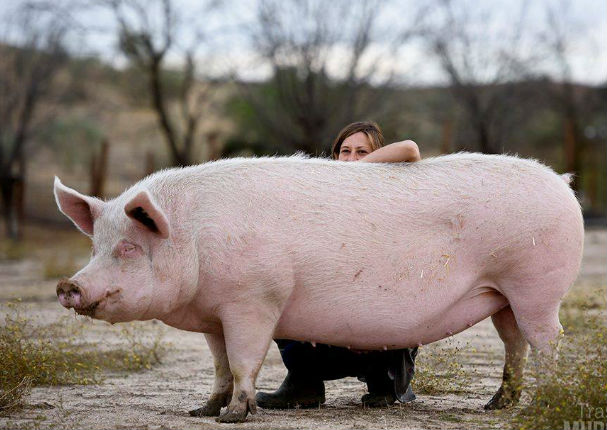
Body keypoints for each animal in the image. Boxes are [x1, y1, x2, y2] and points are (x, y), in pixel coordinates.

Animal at [55, 152, 584, 424]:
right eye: (96, 246)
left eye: (127, 247)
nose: (68, 285)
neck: (194, 236)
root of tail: (562, 182)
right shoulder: (214, 315)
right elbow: (220, 364)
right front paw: (200, 410)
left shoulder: (254, 300)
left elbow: (245, 359)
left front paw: (234, 415)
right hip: (502, 296)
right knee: (514, 342)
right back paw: (495, 405)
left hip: (536, 285)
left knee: (548, 340)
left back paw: (544, 402)